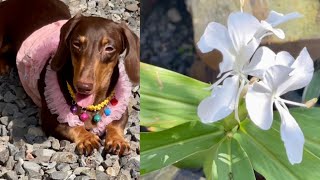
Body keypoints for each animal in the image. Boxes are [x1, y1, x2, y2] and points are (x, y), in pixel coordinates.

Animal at [0, 0, 140, 155]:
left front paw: (117, 140)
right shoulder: (51, 118)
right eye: (76, 44)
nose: (83, 87)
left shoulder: (121, 108)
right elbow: (71, 125)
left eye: (109, 48)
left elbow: (115, 123)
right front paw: (87, 138)